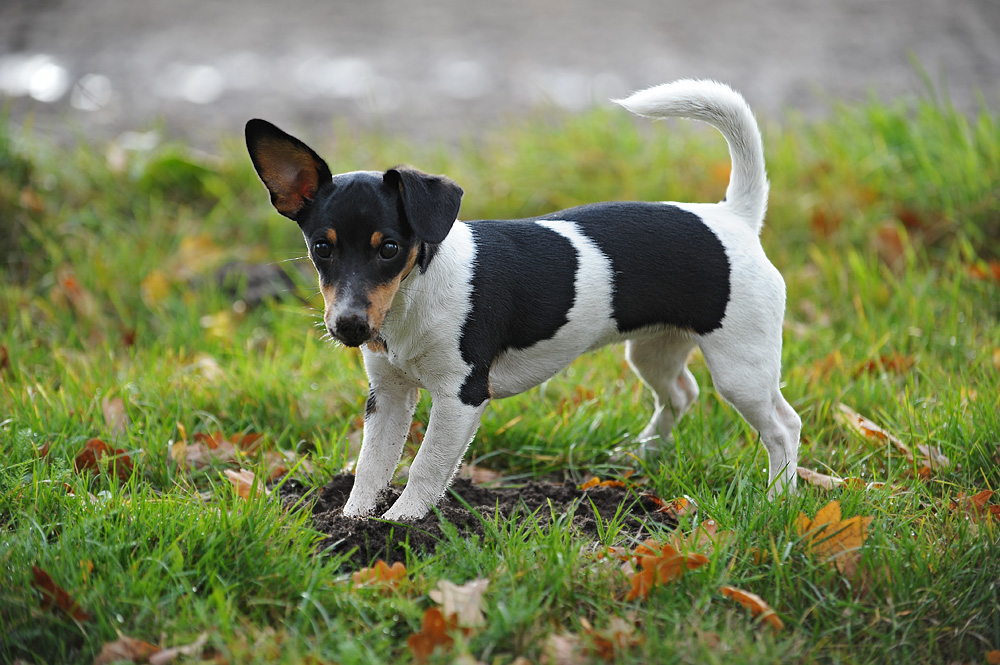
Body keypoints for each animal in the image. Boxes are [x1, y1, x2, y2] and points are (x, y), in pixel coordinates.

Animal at [246, 79, 800, 520]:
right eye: (321, 248)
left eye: (389, 249)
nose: (349, 327)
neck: (413, 295)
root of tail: (733, 215)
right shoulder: (387, 396)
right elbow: (371, 467)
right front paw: (351, 523)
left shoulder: (461, 396)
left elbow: (425, 467)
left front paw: (399, 526)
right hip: (653, 350)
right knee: (682, 393)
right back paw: (641, 457)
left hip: (741, 367)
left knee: (782, 426)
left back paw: (779, 500)